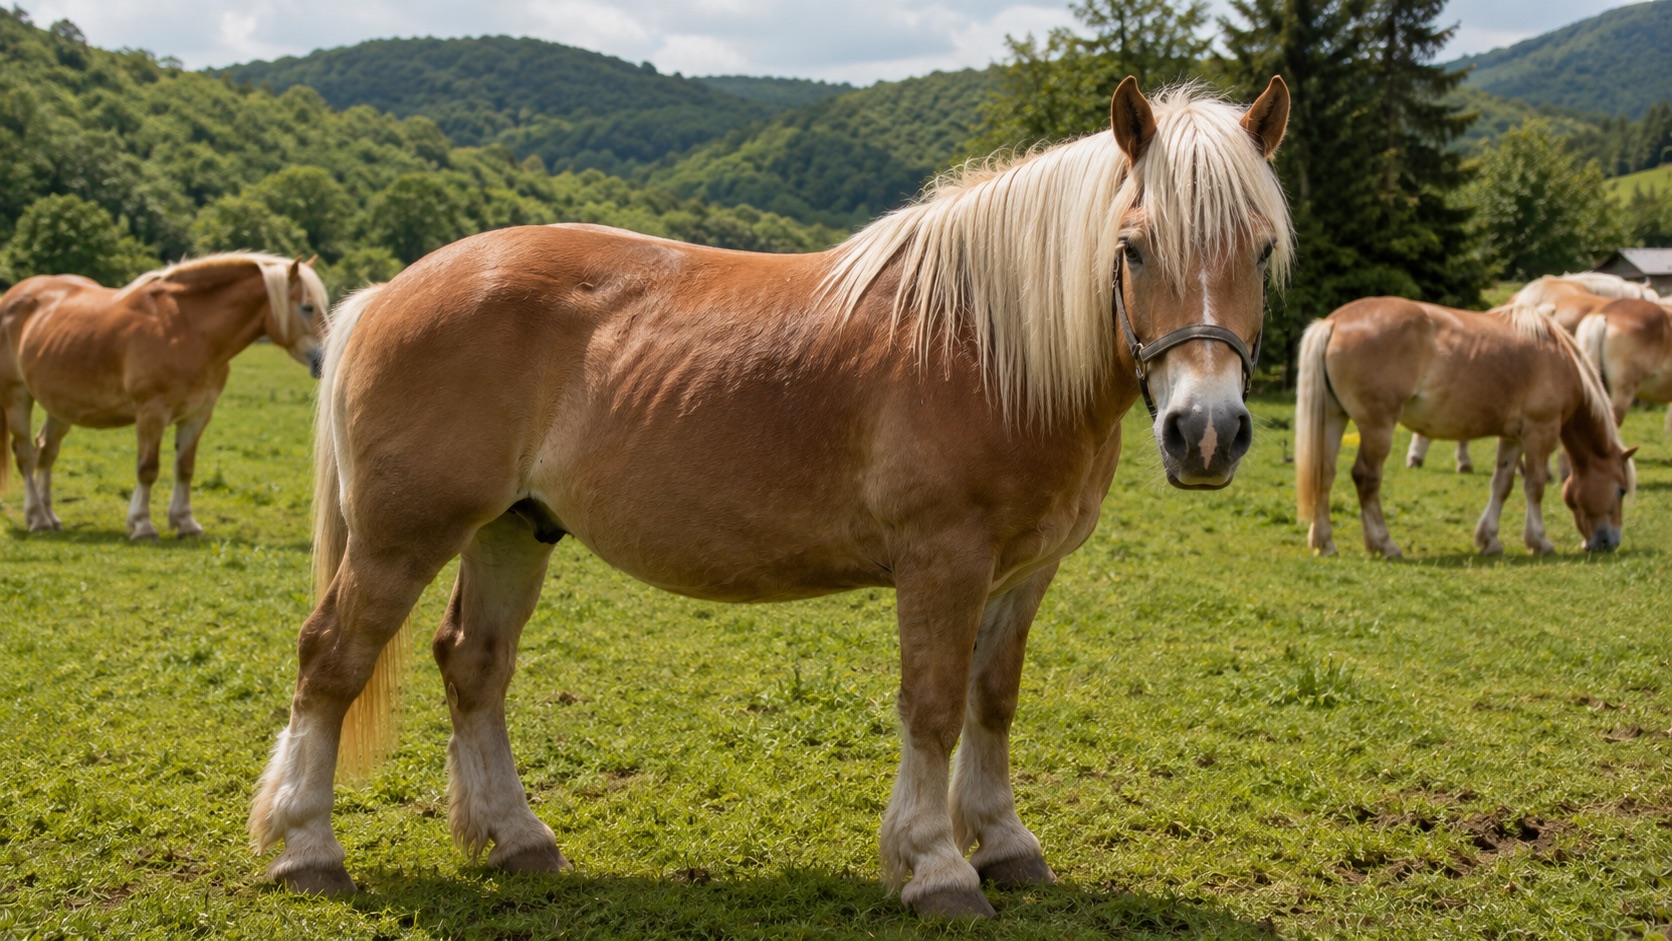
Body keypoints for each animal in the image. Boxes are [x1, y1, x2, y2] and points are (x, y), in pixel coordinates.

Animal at [0, 252, 328, 538]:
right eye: (307, 307)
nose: (323, 361)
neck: (187, 329)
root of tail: (13, 296)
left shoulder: (198, 415)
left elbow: (185, 468)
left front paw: (185, 523)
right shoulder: (151, 414)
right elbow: (148, 468)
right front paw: (142, 525)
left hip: (60, 406)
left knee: (46, 451)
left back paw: (50, 516)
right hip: (17, 396)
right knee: (25, 454)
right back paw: (37, 518)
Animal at [247, 77, 1294, 919]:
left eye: (1261, 248)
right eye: (1134, 248)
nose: (1205, 432)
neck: (986, 345)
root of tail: (388, 292)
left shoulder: (1023, 573)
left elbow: (993, 702)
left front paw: (1004, 843)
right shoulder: (943, 560)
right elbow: (933, 705)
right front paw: (936, 866)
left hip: (512, 530)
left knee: (474, 664)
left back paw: (518, 839)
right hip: (401, 535)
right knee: (330, 658)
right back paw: (308, 849)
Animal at [1296, 298, 1636, 558]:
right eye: (1620, 490)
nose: (1609, 542)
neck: (1557, 356)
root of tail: (1334, 322)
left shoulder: (1512, 437)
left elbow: (1502, 485)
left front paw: (1490, 540)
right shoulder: (1541, 432)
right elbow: (1535, 486)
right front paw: (1539, 541)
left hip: (1334, 417)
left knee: (1324, 474)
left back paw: (1325, 542)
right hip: (1377, 426)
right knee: (1366, 478)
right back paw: (1384, 544)